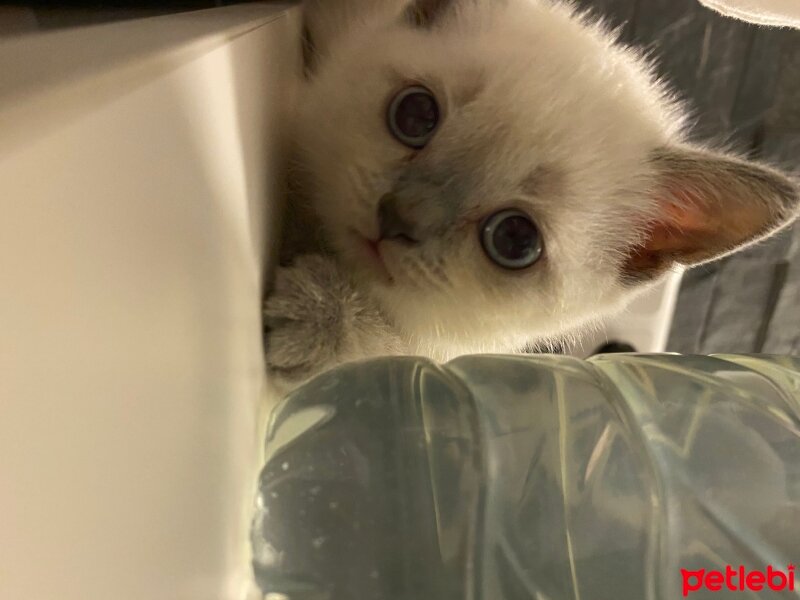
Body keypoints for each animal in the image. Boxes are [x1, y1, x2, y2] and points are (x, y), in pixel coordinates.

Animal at [264, 0, 800, 392]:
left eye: (515, 239)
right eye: (415, 114)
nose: (396, 218)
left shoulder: (445, 350)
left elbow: (389, 348)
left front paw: (320, 320)